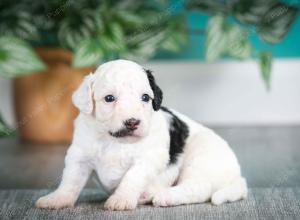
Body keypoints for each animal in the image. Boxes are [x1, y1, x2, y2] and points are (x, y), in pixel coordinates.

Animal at [35, 59, 247, 211]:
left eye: (145, 97)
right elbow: (70, 181)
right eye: (109, 98)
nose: (132, 122)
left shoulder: (149, 158)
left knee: (198, 188)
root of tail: (238, 176)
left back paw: (164, 196)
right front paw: (57, 199)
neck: (115, 141)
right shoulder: (79, 156)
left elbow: (132, 177)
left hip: (201, 158)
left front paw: (121, 199)